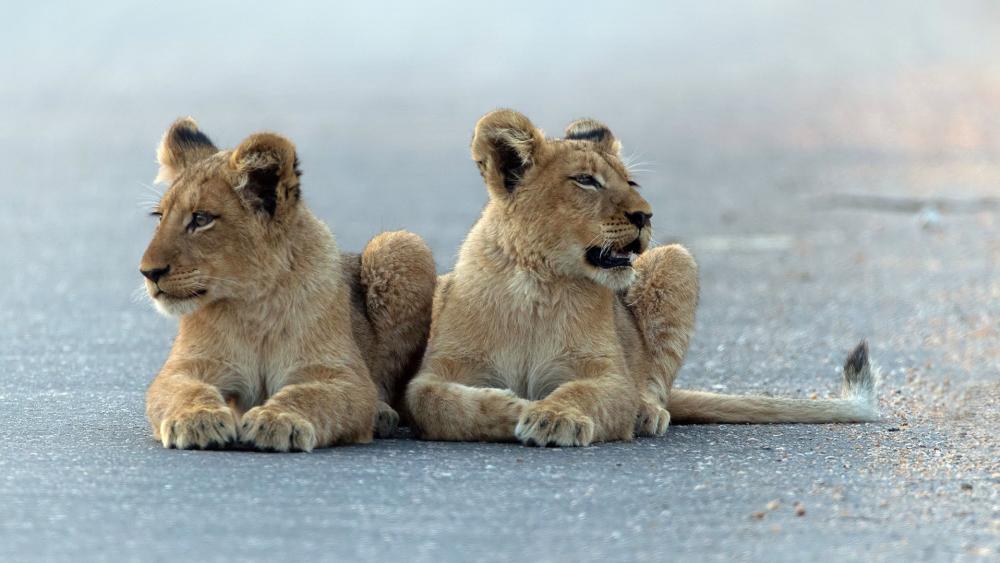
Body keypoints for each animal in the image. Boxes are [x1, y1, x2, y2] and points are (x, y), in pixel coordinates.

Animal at [139, 118, 436, 451]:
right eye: (160, 217)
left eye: (201, 219)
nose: (148, 272)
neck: (253, 305)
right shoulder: (182, 368)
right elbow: (183, 390)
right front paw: (198, 418)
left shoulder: (345, 377)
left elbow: (310, 395)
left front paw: (279, 420)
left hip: (402, 246)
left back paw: (381, 414)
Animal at [405, 109, 879, 446]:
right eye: (586, 181)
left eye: (630, 182)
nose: (645, 215)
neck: (537, 283)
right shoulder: (437, 370)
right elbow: (435, 402)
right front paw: (512, 407)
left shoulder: (612, 379)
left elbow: (583, 393)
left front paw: (552, 416)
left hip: (677, 260)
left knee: (657, 384)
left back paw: (647, 414)